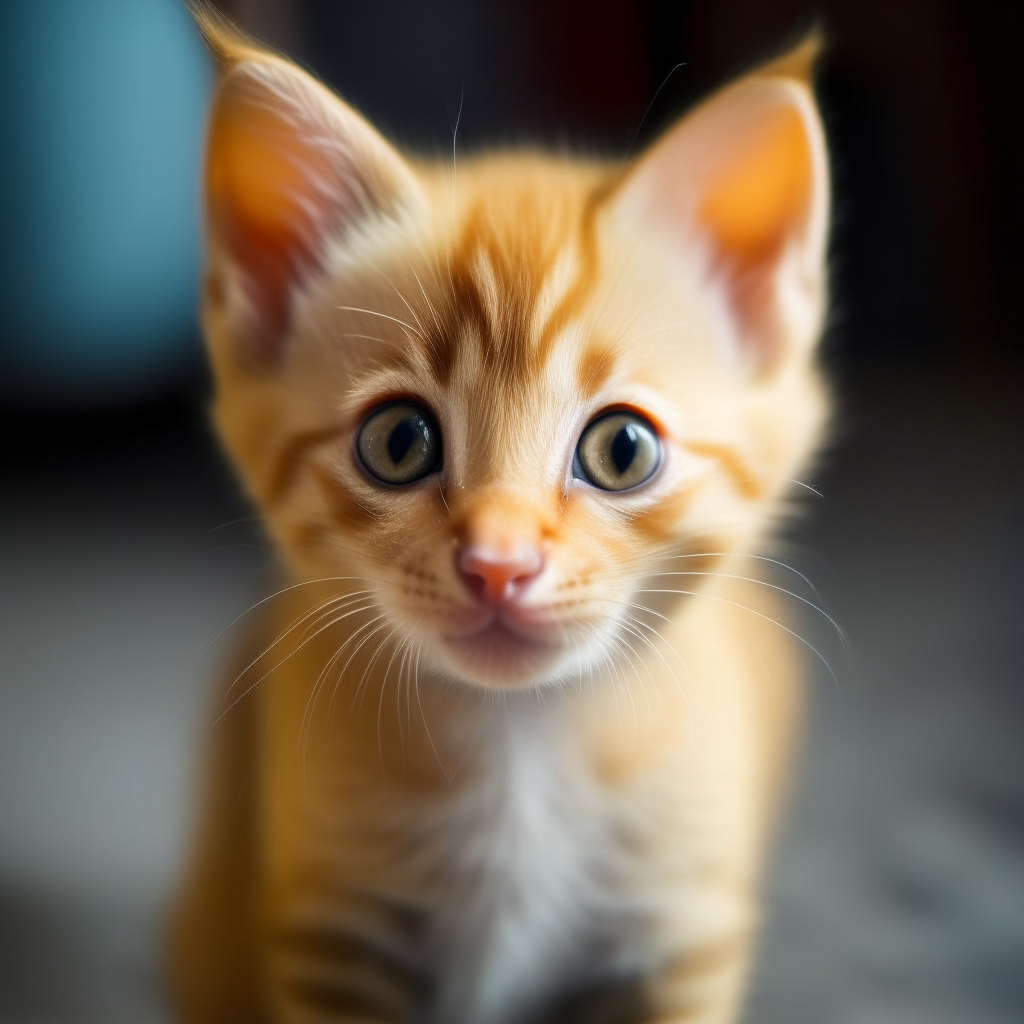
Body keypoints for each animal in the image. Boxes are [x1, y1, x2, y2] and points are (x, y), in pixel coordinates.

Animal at [169, 14, 831, 1024]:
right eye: (398, 442)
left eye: (622, 450)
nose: (498, 563)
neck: (521, 750)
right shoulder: (332, 932)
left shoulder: (677, 936)